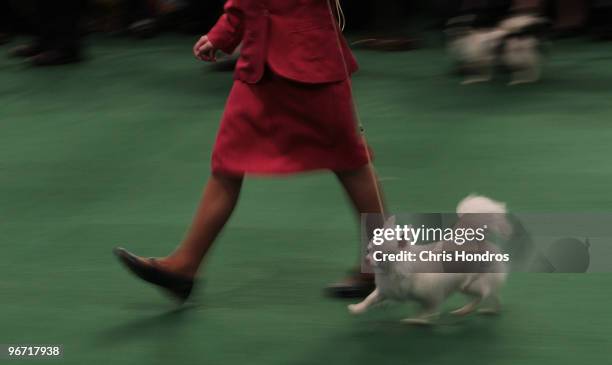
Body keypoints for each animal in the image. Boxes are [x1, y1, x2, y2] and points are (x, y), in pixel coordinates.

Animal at [350, 195, 512, 322]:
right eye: (368, 250)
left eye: (379, 255)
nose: (366, 259)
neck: (394, 269)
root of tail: (477, 240)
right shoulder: (387, 290)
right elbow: (370, 298)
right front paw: (357, 308)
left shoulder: (430, 293)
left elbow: (429, 309)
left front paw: (418, 320)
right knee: (492, 296)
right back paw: (485, 310)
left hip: (471, 285)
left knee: (484, 293)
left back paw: (469, 310)